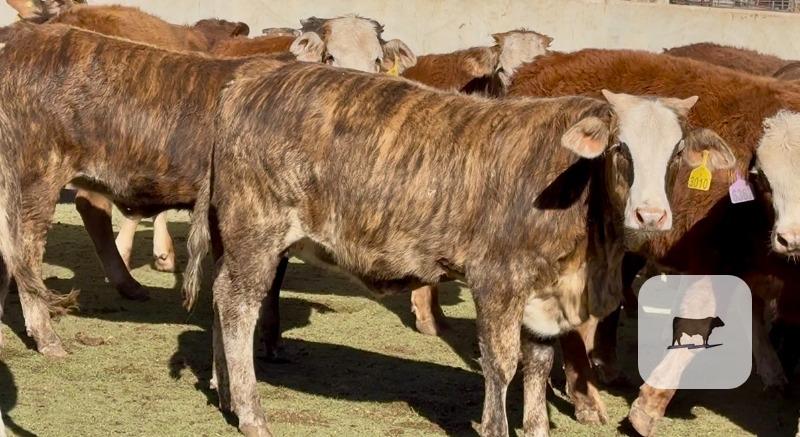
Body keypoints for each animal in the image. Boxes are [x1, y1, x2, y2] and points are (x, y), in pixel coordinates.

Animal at [178, 40, 734, 435]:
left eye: (677, 151)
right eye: (620, 148)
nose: (650, 214)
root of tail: (251, 78)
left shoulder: (543, 295)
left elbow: (538, 365)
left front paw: (536, 427)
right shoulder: (498, 282)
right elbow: (502, 365)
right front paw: (497, 426)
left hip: (236, 236)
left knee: (220, 298)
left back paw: (225, 392)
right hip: (257, 233)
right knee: (237, 306)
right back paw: (252, 413)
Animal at [507, 48, 800, 436]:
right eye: (763, 179)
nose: (790, 238)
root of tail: (539, 65)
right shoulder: (713, 260)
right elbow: (698, 322)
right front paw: (646, 410)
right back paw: (585, 396)